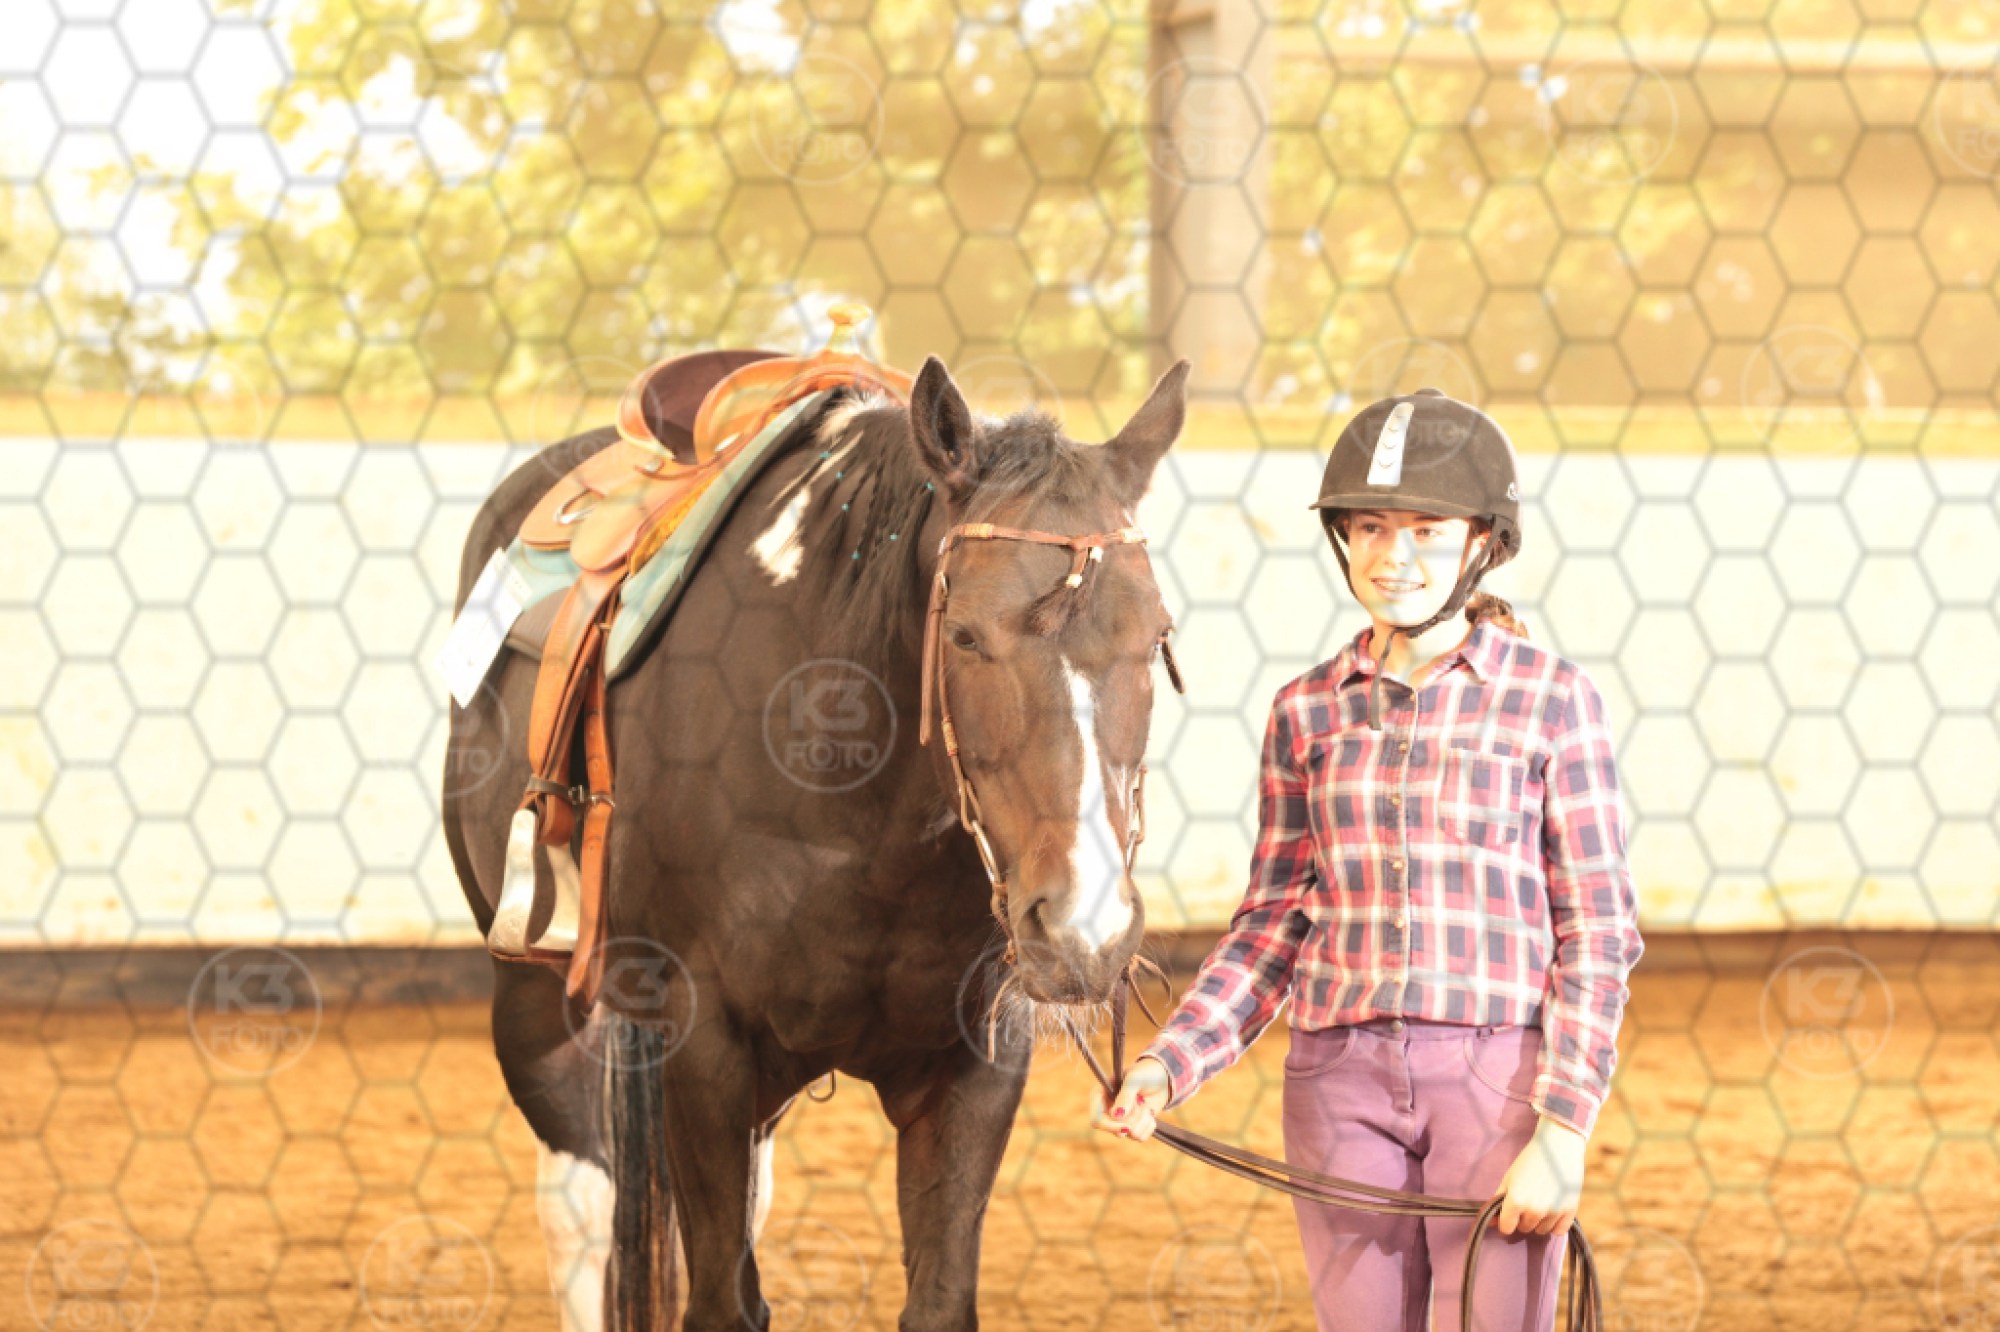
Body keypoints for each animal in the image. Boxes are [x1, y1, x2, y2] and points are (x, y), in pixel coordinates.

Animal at [440, 354, 1191, 1330]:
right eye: (964, 636)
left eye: (1157, 636)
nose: (1083, 930)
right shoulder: (704, 1049)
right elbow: (718, 1302)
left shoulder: (975, 1069)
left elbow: (934, 1299)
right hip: (535, 999)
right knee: (582, 1205)